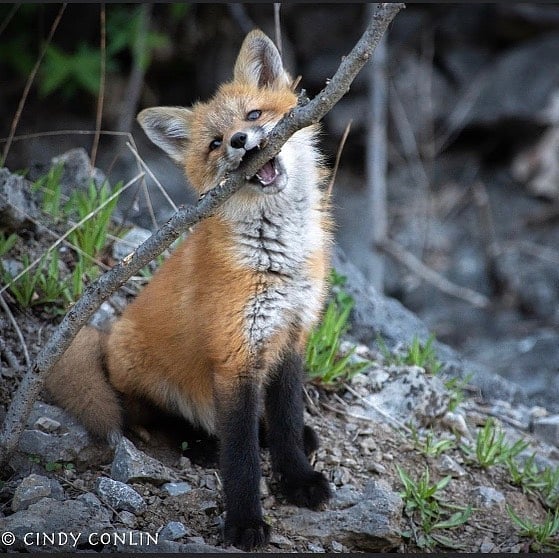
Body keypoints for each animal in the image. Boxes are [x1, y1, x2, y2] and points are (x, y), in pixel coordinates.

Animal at [46, 29, 333, 550]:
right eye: (215, 144)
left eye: (253, 116)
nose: (239, 141)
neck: (274, 258)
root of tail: (105, 337)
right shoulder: (235, 354)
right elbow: (239, 456)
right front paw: (245, 522)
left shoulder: (290, 337)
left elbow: (284, 422)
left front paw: (298, 480)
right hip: (146, 375)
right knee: (144, 419)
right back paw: (198, 442)